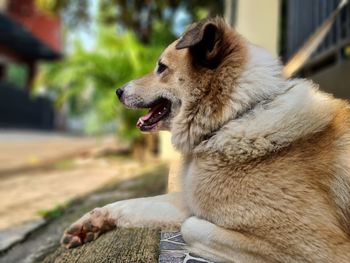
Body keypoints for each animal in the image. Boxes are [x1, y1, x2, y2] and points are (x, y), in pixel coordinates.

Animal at [61, 17, 350, 262]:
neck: (231, 118)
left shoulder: (316, 247)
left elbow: (190, 226)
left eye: (161, 68)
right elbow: (136, 204)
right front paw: (91, 222)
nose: (118, 91)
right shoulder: (190, 199)